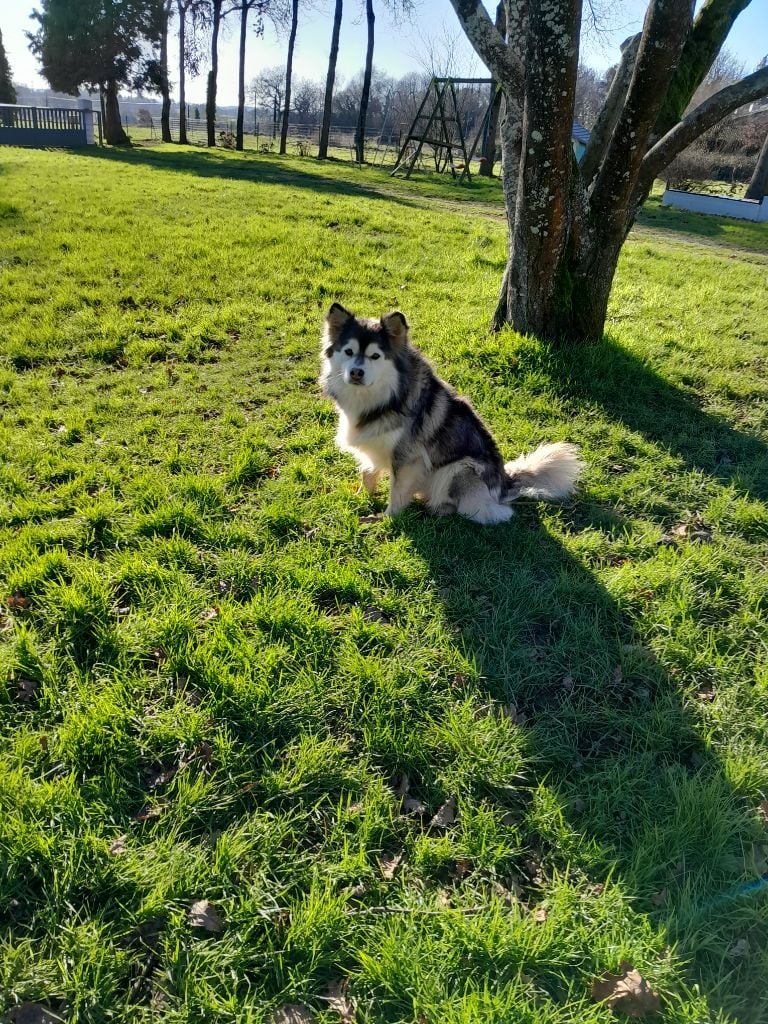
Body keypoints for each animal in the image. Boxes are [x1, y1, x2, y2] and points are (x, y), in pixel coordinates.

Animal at [319, 305, 581, 524]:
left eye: (375, 356)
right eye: (349, 351)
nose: (356, 372)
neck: (383, 398)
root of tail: (504, 482)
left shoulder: (407, 458)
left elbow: (396, 492)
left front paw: (387, 519)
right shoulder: (374, 445)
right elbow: (367, 472)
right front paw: (362, 497)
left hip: (459, 468)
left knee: (487, 512)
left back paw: (437, 509)